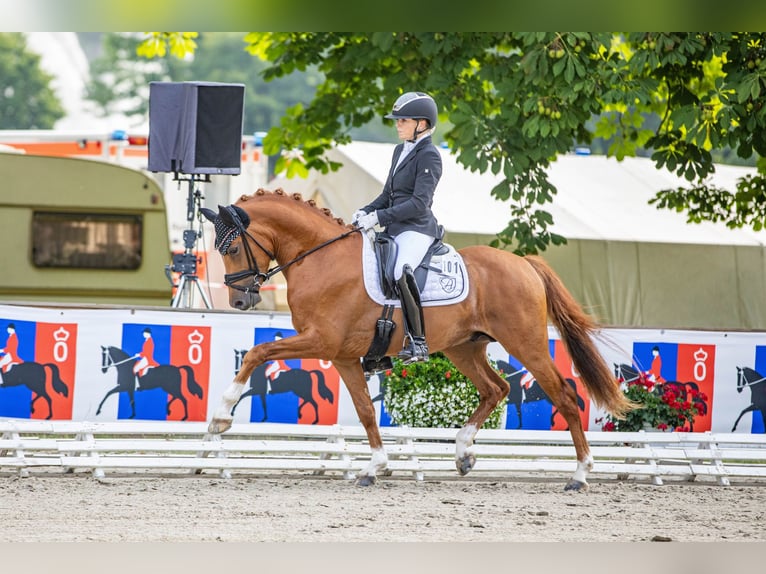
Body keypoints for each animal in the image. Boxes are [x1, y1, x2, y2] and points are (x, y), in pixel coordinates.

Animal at [201, 189, 632, 490]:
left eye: (233, 247)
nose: (240, 301)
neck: (319, 259)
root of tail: (524, 263)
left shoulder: (321, 341)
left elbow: (257, 352)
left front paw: (221, 415)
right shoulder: (342, 356)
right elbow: (365, 411)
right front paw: (375, 466)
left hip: (524, 343)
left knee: (564, 395)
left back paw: (580, 474)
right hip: (464, 347)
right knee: (494, 389)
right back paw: (463, 453)